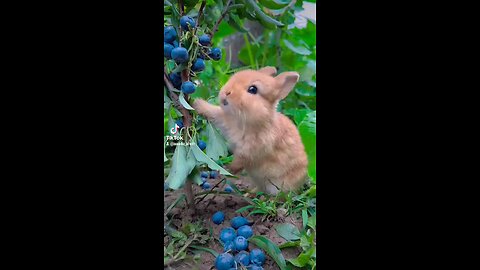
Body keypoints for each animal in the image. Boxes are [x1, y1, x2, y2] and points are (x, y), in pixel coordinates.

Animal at [193, 66, 310, 195]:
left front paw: (230, 169)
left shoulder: (251, 149)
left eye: (253, 89)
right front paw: (197, 103)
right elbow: (214, 112)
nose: (226, 92)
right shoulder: (225, 120)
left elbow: (241, 159)